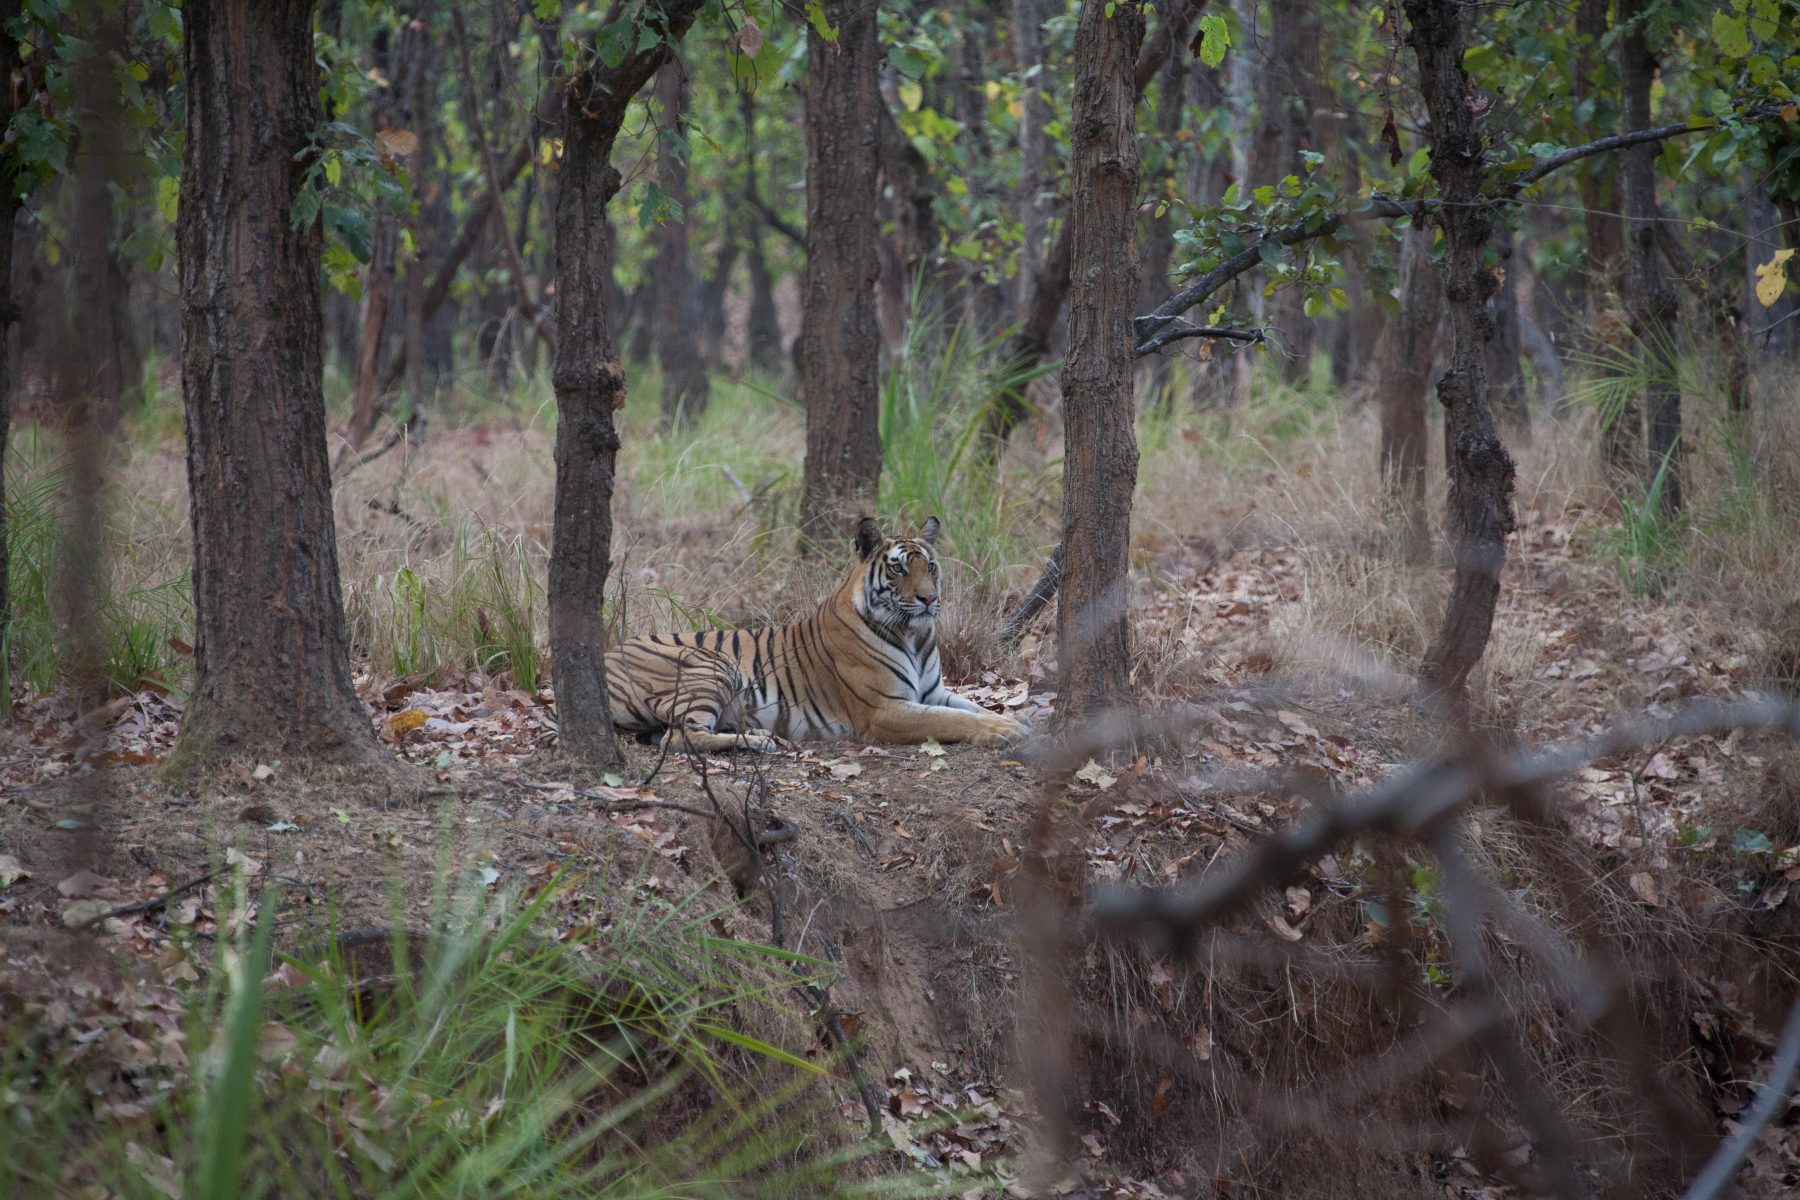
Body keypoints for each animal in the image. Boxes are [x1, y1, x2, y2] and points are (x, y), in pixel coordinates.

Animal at [601, 518, 1029, 752]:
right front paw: (1006, 730)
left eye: (932, 567)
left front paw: (1020, 723)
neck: (915, 634)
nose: (930, 599)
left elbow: (973, 708)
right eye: (899, 569)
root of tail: (604, 654)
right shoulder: (886, 710)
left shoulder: (933, 692)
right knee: (678, 738)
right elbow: (953, 721)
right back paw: (758, 740)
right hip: (712, 665)